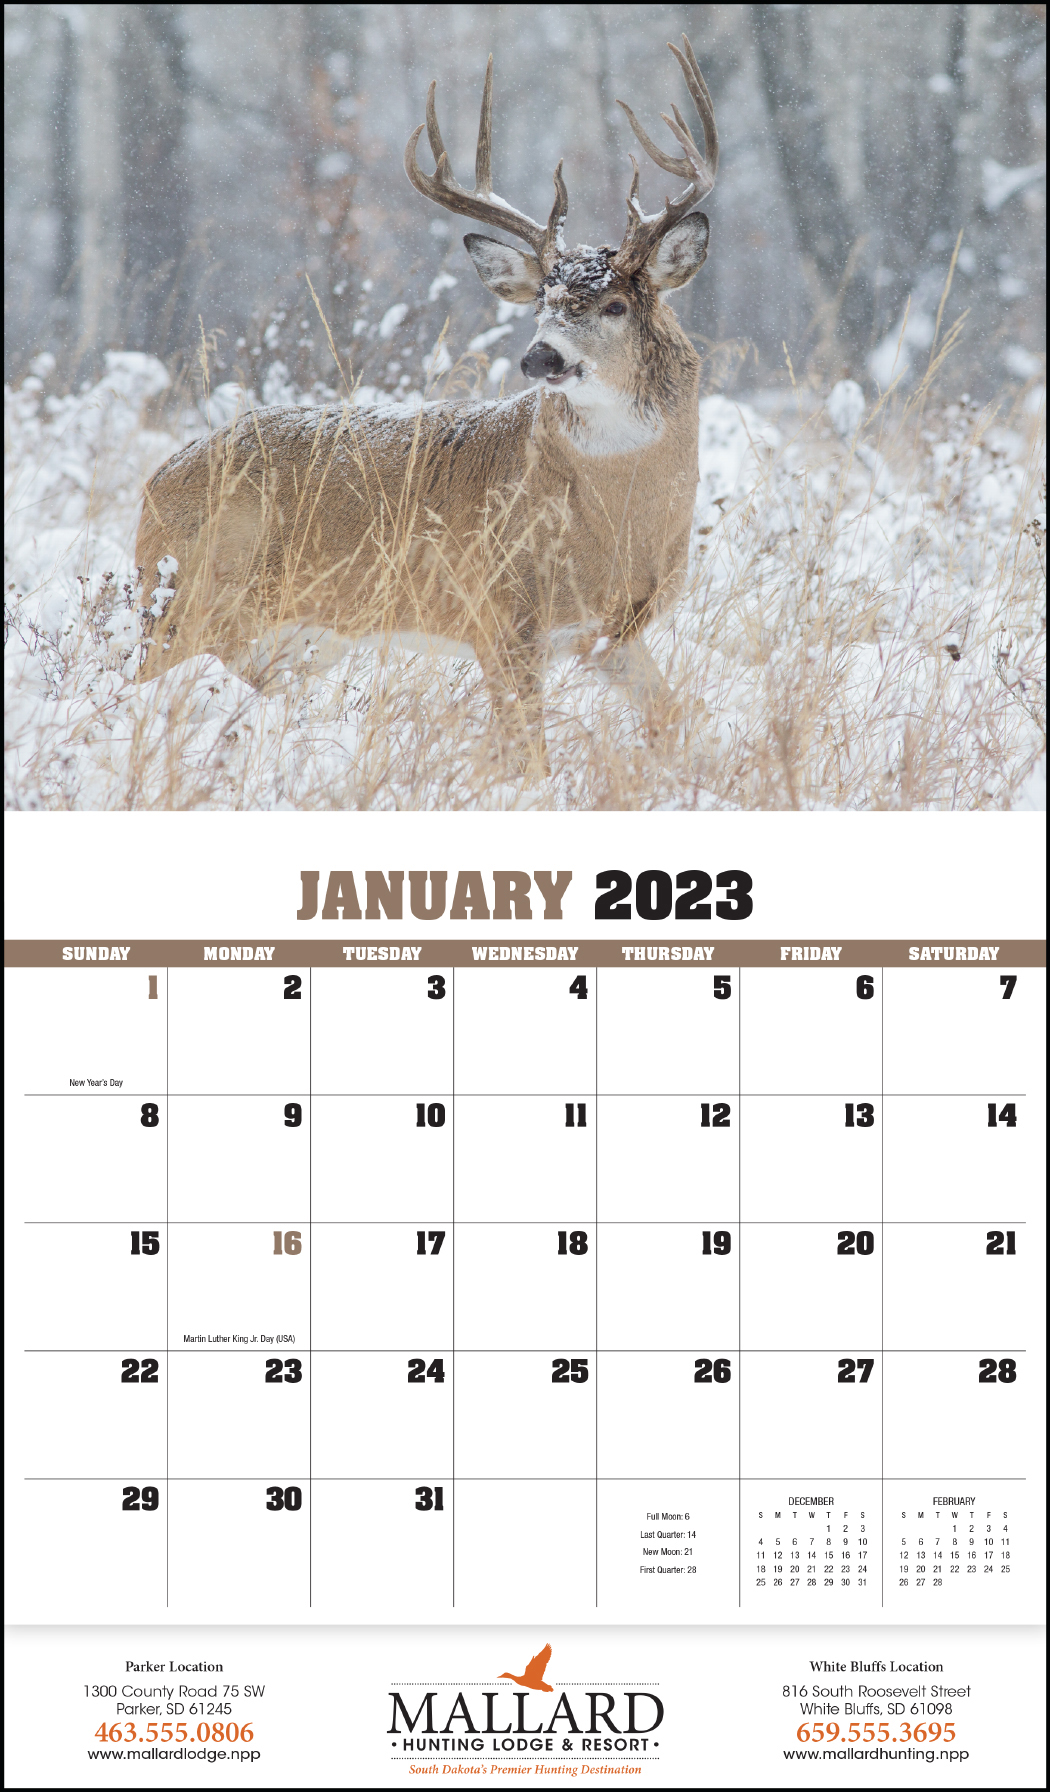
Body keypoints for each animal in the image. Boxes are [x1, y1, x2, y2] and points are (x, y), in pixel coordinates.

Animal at [134, 37, 718, 775]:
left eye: (615, 305)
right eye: (542, 302)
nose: (541, 358)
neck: (614, 522)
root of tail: (155, 481)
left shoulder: (612, 634)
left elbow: (675, 719)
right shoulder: (498, 615)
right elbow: (530, 757)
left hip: (286, 637)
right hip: (183, 603)